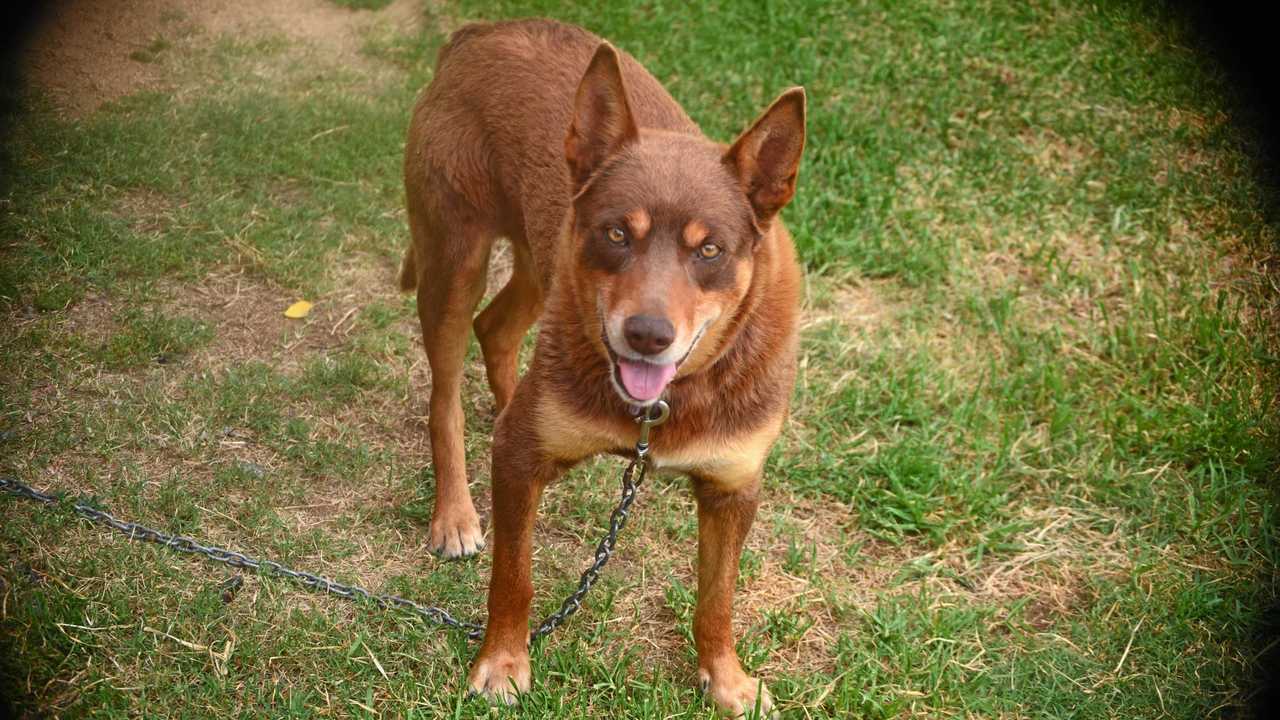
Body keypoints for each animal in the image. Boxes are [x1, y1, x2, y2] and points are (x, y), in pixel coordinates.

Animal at [401, 19, 798, 712]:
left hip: (541, 263)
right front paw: (503, 663)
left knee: (496, 329)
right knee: (445, 396)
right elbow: (513, 579)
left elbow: (717, 600)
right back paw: (455, 513)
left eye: (710, 250)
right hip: (454, 261)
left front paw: (726, 680)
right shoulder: (519, 460)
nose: (647, 335)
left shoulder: (733, 487)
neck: (662, 407)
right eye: (618, 234)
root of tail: (480, 31)